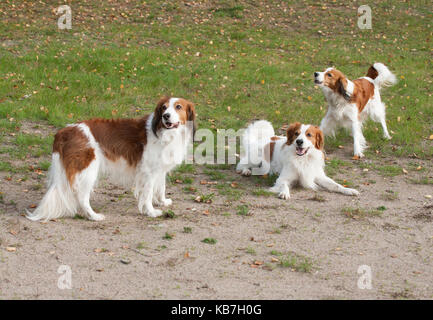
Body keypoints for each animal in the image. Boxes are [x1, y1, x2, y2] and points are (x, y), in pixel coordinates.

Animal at [26, 96, 195, 221]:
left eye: (178, 107)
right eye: (164, 108)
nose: (166, 116)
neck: (165, 132)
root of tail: (64, 131)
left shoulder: (159, 169)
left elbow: (161, 187)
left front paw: (162, 202)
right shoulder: (148, 172)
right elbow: (147, 194)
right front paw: (151, 212)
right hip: (88, 171)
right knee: (82, 197)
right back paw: (93, 216)